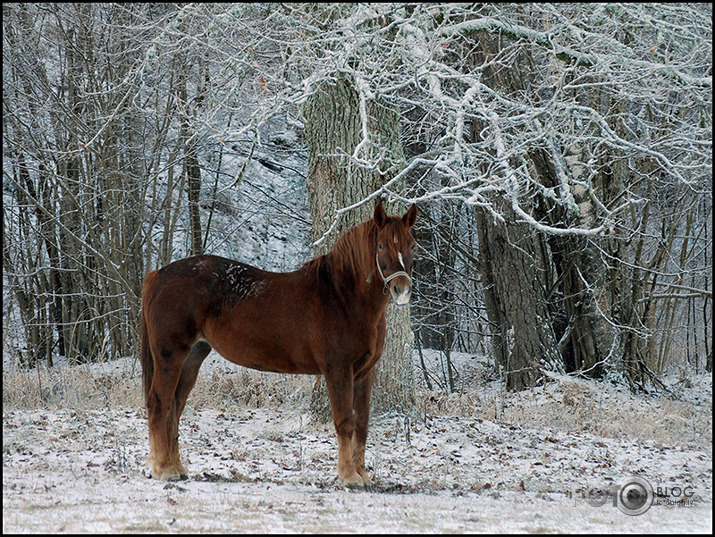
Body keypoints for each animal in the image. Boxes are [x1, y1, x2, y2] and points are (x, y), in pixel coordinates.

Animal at [140, 201, 416, 486]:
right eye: (381, 246)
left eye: (412, 245)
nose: (402, 290)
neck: (342, 297)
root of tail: (159, 275)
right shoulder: (339, 371)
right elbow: (345, 422)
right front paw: (349, 477)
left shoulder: (365, 373)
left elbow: (362, 425)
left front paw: (362, 474)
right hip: (170, 356)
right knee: (159, 403)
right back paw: (163, 469)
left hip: (193, 357)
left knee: (175, 407)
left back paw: (177, 467)